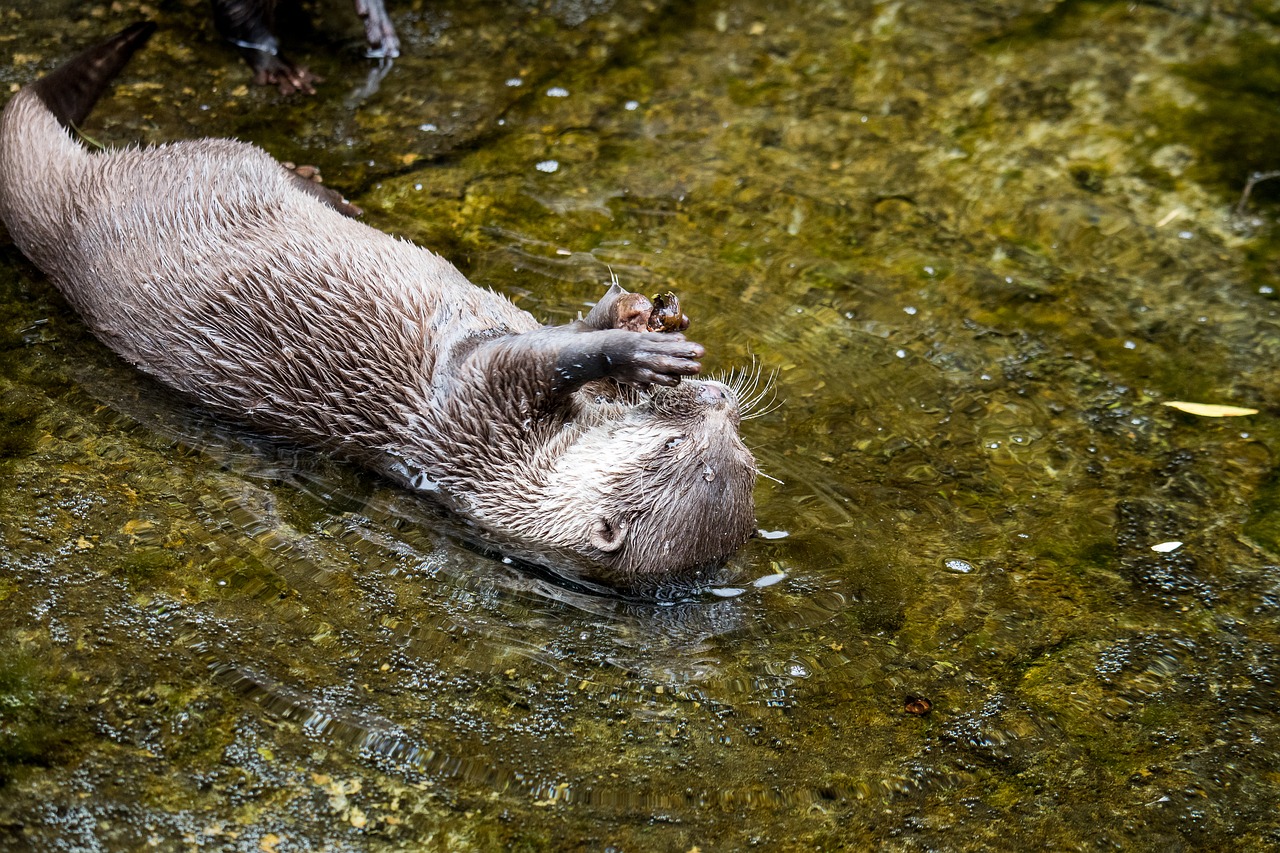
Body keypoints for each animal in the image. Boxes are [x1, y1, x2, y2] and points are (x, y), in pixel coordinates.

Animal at [0, 26, 752, 584]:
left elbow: (533, 353)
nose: (719, 398)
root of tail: (70, 221)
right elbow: (557, 338)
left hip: (199, 165)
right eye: (681, 443)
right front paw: (642, 326)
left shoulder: (480, 402)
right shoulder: (491, 395)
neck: (512, 466)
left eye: (725, 457)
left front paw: (632, 345)